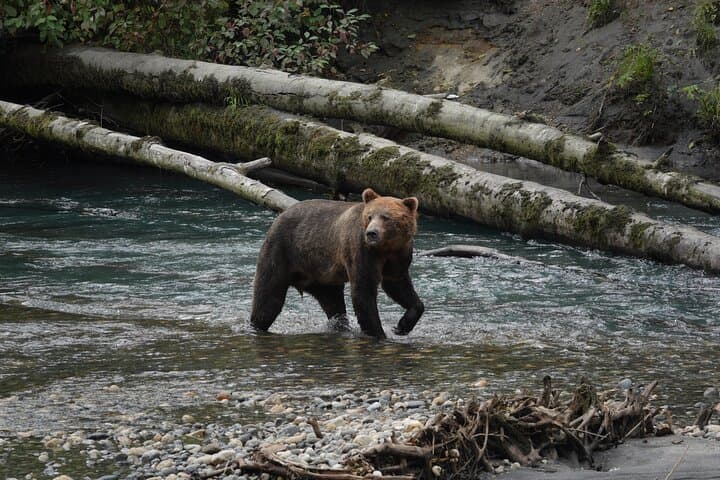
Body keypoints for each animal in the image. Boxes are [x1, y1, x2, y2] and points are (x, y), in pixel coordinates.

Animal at [250, 188, 424, 339]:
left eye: (386, 217)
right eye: (369, 216)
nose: (371, 233)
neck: (386, 249)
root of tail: (278, 218)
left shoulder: (399, 256)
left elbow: (398, 286)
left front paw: (402, 326)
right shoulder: (362, 251)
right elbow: (363, 291)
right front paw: (378, 333)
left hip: (322, 275)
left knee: (333, 303)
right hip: (281, 253)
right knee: (268, 300)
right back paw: (256, 326)